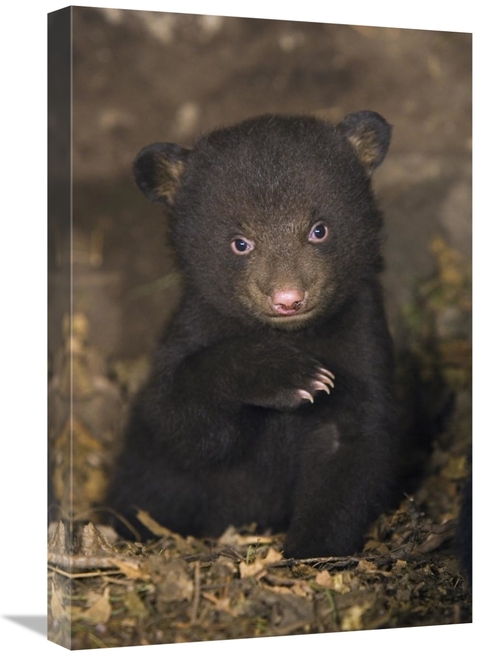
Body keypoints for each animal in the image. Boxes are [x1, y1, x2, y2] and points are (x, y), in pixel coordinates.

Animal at [106, 111, 399, 558]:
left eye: (319, 230)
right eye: (240, 243)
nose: (288, 298)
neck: (294, 333)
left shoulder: (361, 335)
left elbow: (350, 446)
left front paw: (311, 550)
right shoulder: (195, 328)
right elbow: (183, 424)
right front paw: (289, 376)